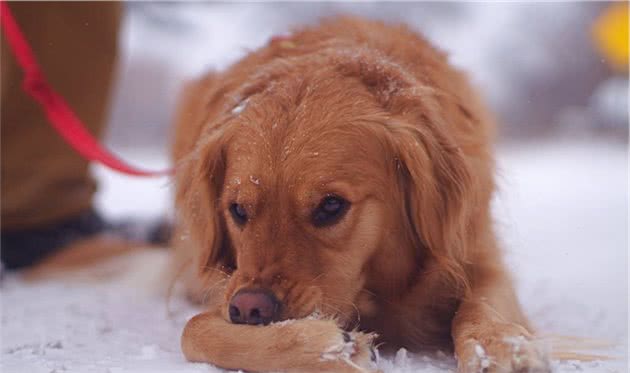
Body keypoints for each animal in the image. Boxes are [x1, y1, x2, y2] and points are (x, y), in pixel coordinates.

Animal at [170, 17, 552, 372]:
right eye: (237, 210)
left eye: (331, 205)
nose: (251, 308)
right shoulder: (225, 290)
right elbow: (193, 330)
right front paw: (328, 346)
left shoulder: (476, 254)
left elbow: (481, 304)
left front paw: (499, 345)